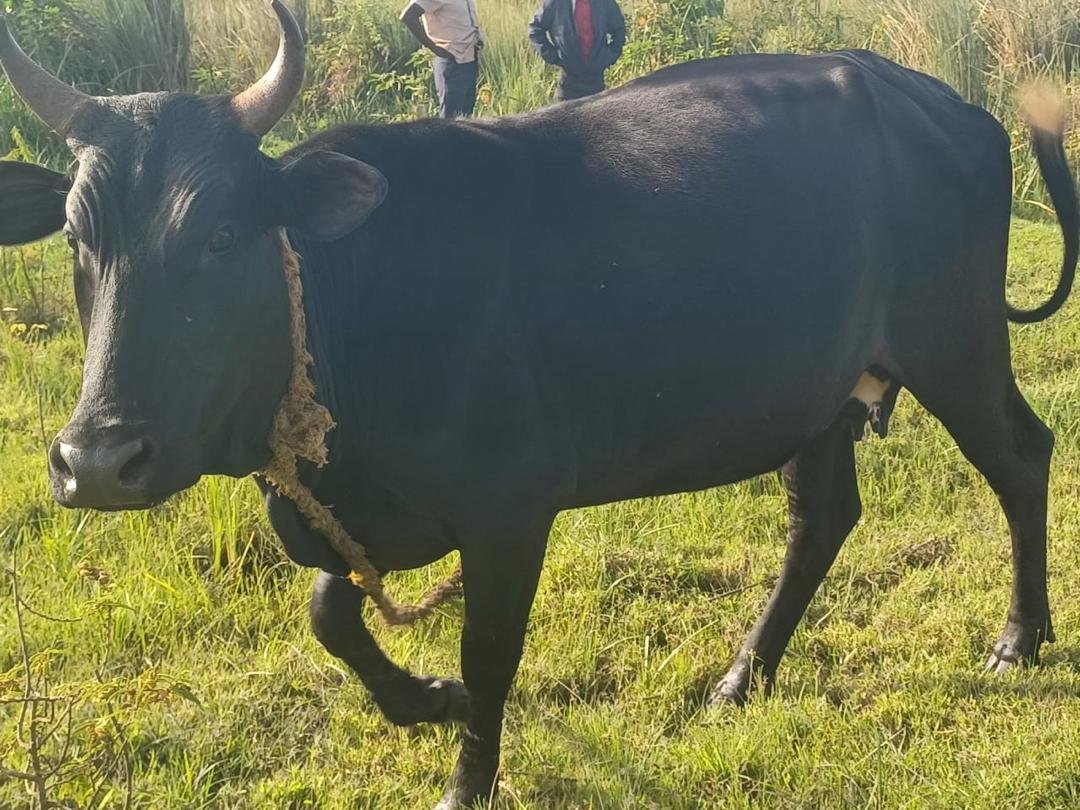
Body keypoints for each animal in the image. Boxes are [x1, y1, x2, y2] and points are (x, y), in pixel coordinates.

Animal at [1, 3, 1077, 807]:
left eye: (222, 233)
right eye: (77, 238)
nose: (97, 462)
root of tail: (938, 103)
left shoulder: (510, 511)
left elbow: (489, 655)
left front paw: (462, 774)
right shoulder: (361, 515)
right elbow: (329, 614)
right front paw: (424, 697)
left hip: (955, 344)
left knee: (1022, 456)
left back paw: (1017, 641)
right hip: (818, 397)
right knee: (823, 519)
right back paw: (742, 677)